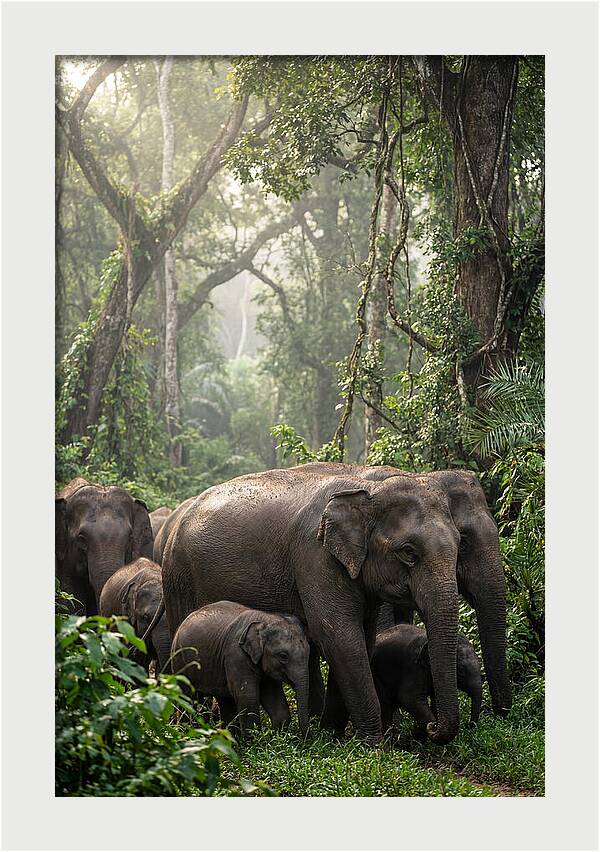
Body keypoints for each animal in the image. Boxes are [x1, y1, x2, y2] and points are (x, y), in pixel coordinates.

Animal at [170, 601, 310, 735]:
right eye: (283, 656)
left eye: (309, 652)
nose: (305, 738)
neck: (265, 619)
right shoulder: (236, 656)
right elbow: (248, 697)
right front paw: (254, 740)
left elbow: (275, 701)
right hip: (180, 661)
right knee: (187, 698)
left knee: (225, 701)